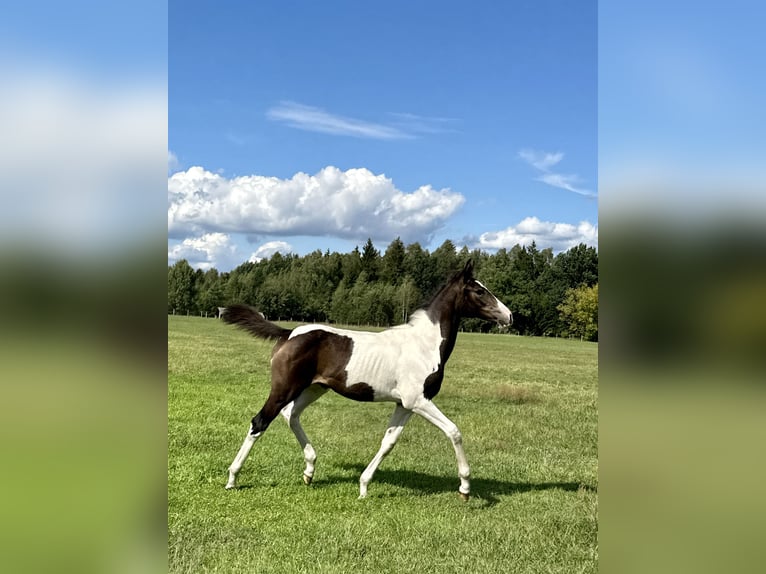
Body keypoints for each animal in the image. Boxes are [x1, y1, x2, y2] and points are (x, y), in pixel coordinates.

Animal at [222, 258, 512, 502]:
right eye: (479, 291)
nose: (509, 316)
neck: (423, 344)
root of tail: (289, 333)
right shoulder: (419, 400)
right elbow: (454, 431)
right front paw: (465, 488)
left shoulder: (404, 405)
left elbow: (388, 442)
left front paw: (363, 487)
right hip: (286, 388)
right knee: (260, 422)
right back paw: (233, 478)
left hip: (314, 388)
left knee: (290, 415)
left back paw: (309, 470)